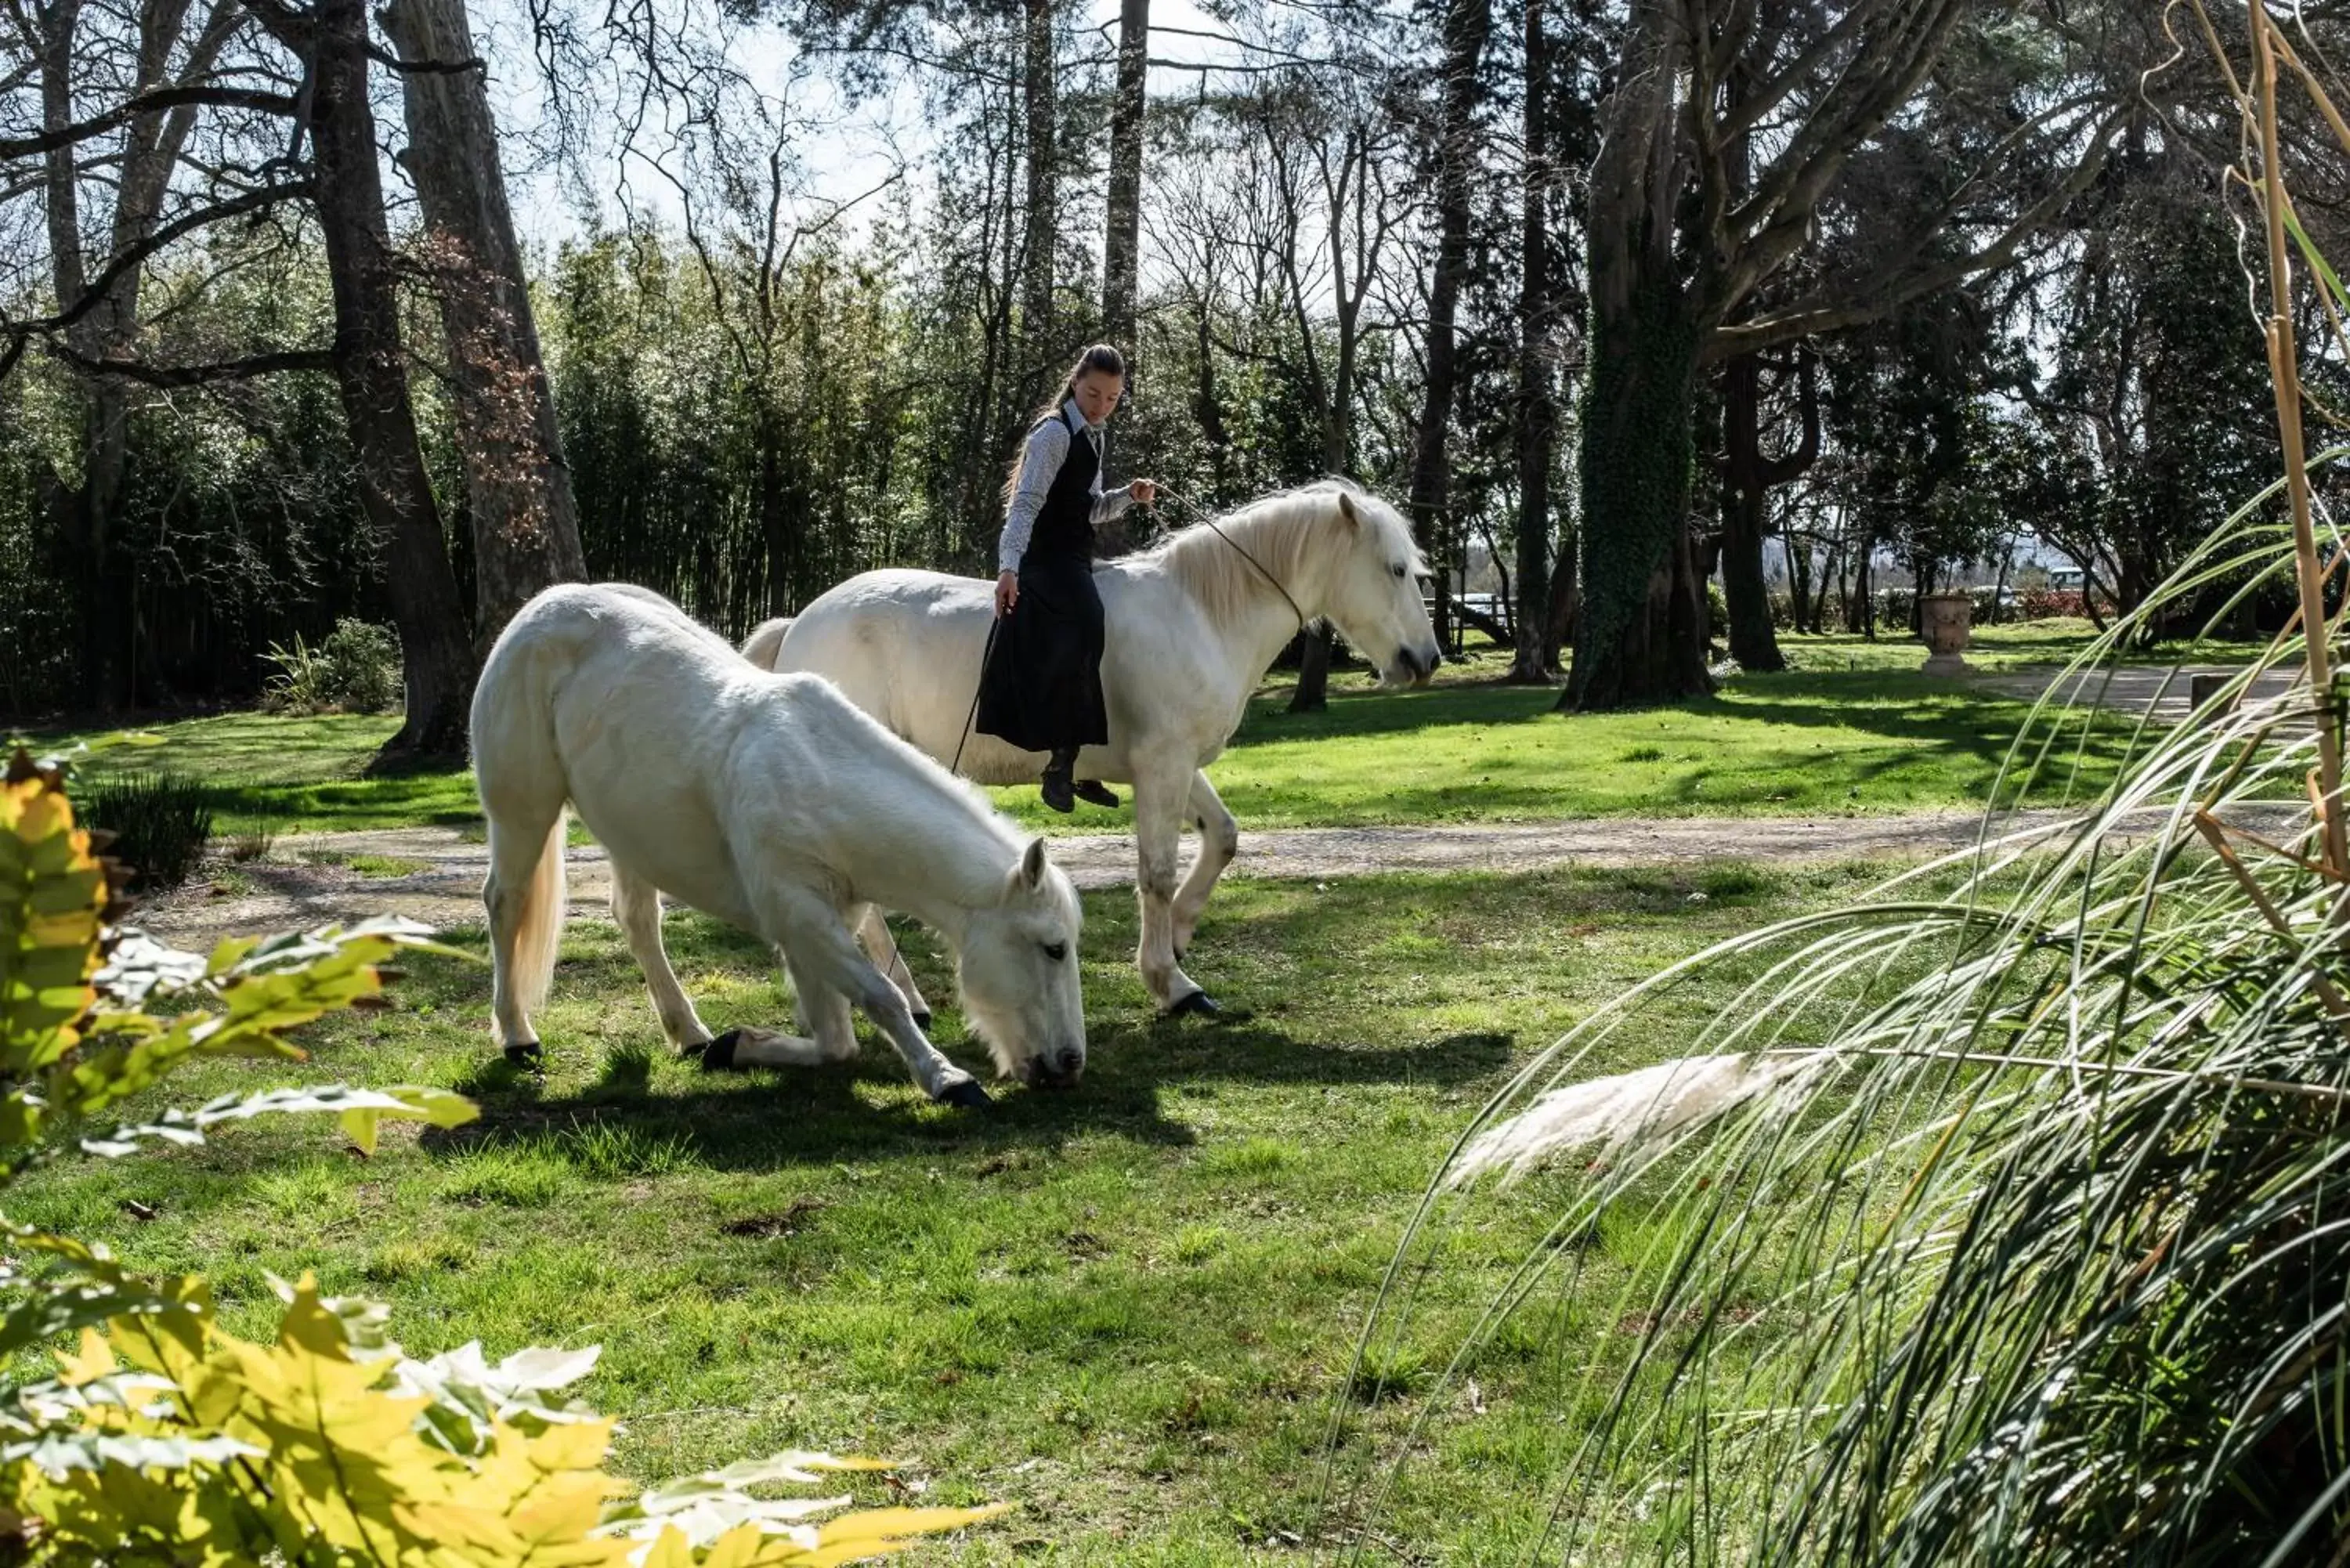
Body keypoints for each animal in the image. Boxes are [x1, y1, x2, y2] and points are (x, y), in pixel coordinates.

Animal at [470, 583, 1090, 1109]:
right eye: (1054, 948)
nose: (1069, 1063)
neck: (817, 777)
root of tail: (543, 607)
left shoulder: (814, 928)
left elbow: (836, 1041)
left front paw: (735, 1047)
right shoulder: (801, 916)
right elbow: (881, 997)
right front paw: (948, 1079)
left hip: (629, 831)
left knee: (637, 919)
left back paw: (689, 1033)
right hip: (524, 812)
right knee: (505, 902)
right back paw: (518, 1036)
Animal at [743, 482, 1438, 1020]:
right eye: (1396, 570)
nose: (1426, 660)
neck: (1201, 613)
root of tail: (803, 623)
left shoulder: (1174, 766)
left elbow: (1222, 838)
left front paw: (1180, 936)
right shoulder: (1163, 767)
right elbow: (1155, 873)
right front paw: (1171, 983)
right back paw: (906, 998)